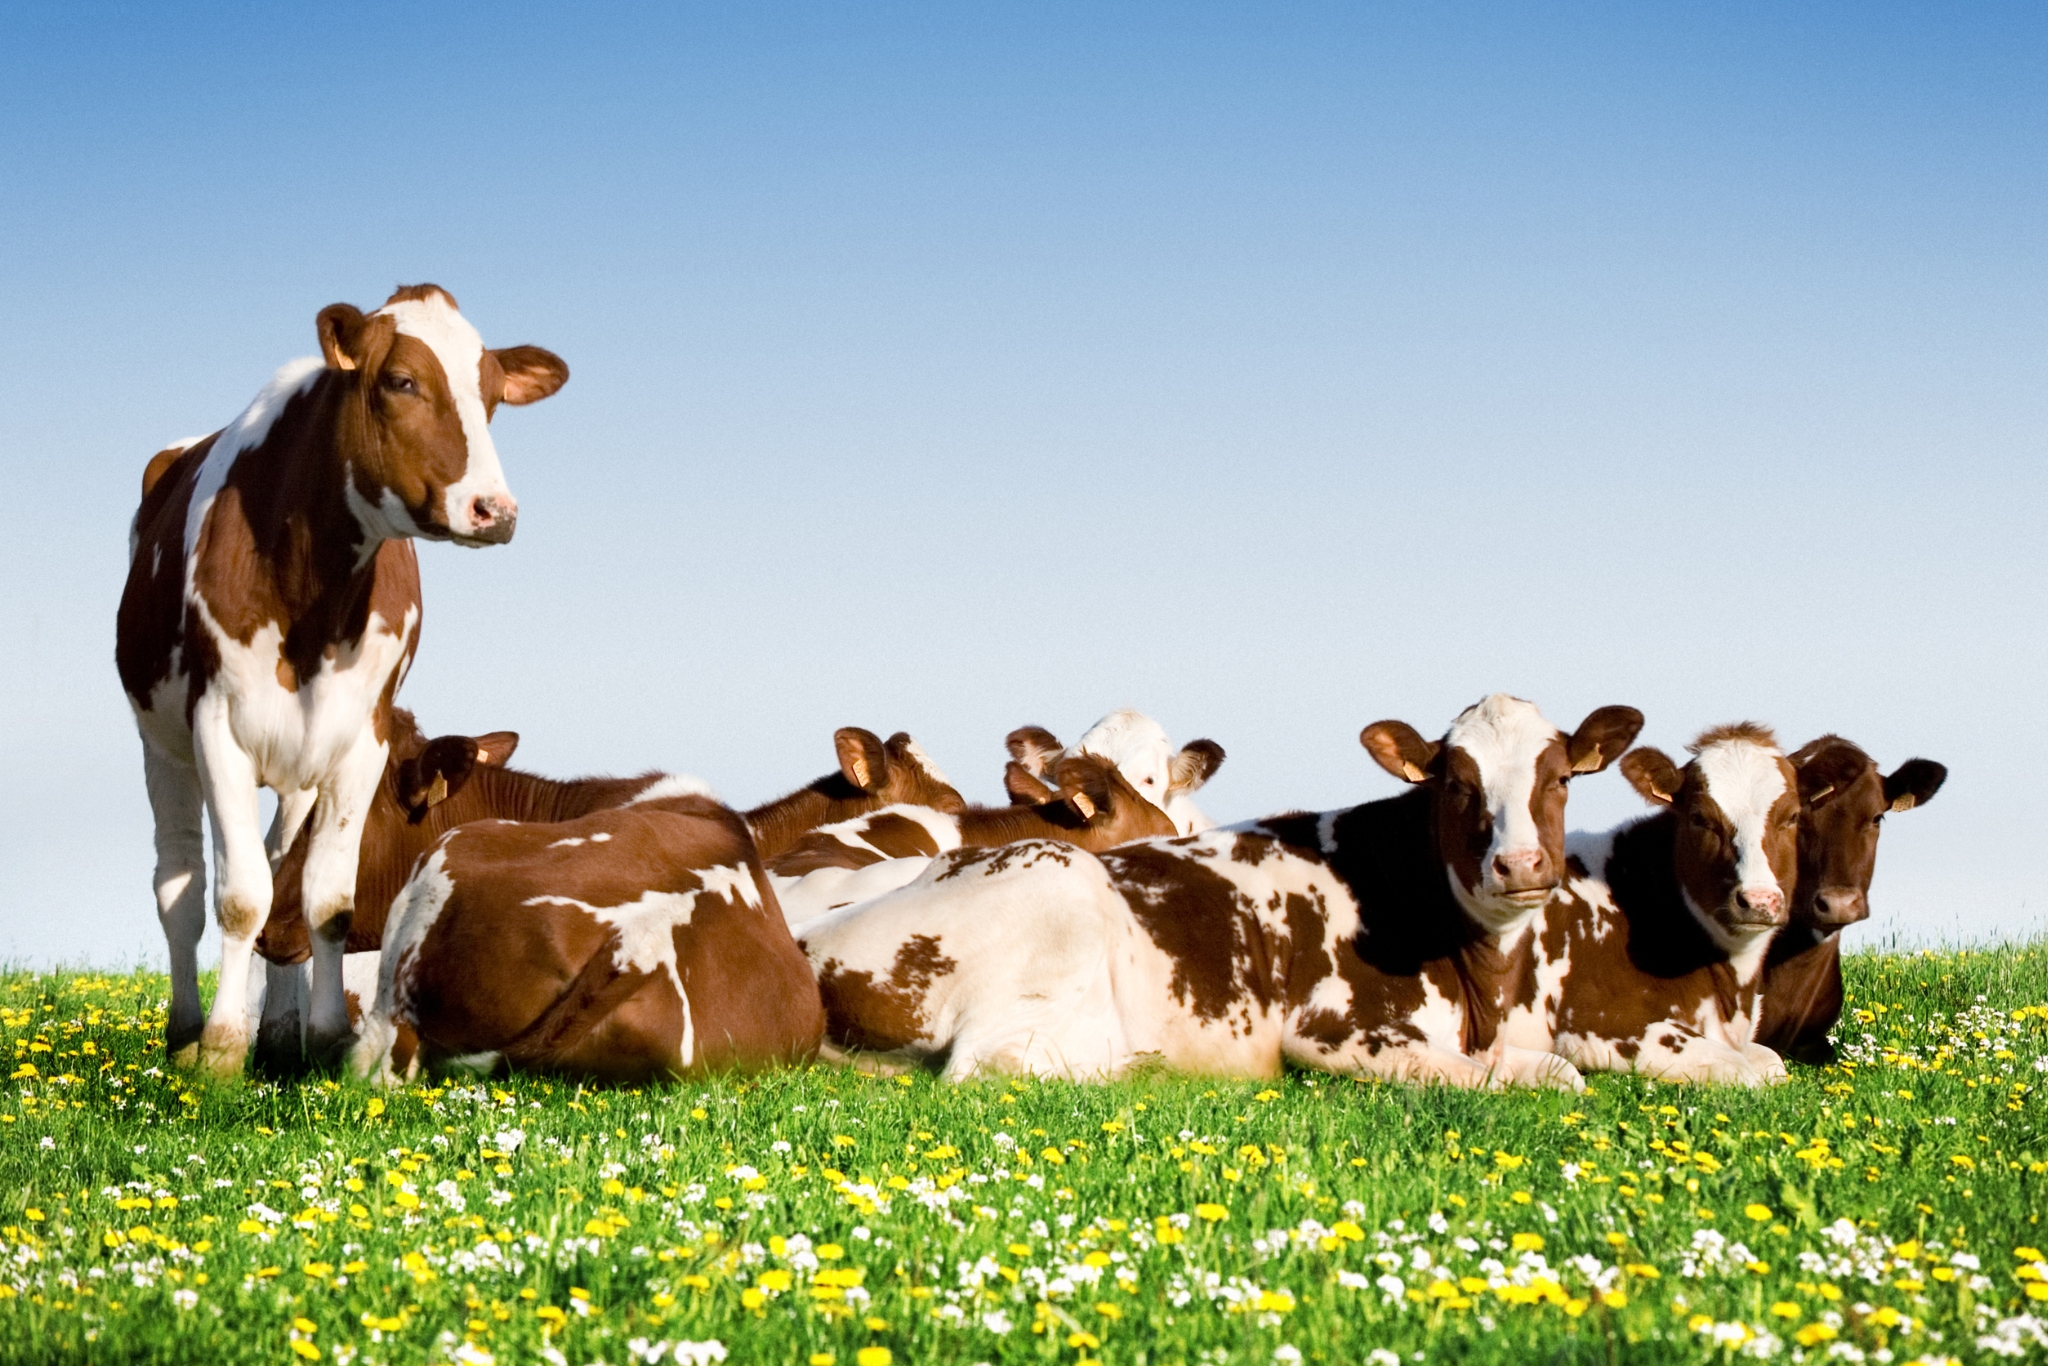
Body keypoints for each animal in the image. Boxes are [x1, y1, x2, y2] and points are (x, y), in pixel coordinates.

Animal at [115, 285, 568, 1073]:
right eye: (403, 381)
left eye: (491, 394)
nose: (494, 511)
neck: (314, 602)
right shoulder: (217, 729)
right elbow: (237, 896)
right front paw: (221, 1053)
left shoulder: (362, 739)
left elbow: (327, 899)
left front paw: (322, 1041)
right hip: (162, 746)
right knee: (179, 887)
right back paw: (186, 1033)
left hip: (302, 763)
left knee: (279, 868)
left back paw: (278, 1033)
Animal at [1502, 724, 1802, 1086]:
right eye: (1700, 818)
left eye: (1793, 816)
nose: (1758, 900)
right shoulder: (1598, 1026)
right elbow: (1739, 1070)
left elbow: (1772, 1062)